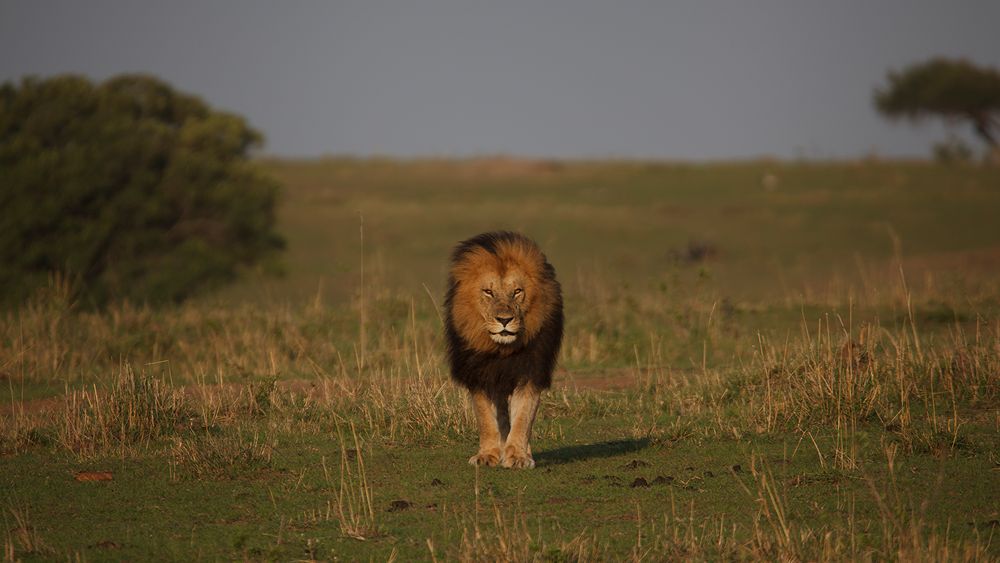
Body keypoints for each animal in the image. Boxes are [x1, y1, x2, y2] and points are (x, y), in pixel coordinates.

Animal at [446, 231, 564, 470]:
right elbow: (485, 418)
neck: (501, 350)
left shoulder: (530, 372)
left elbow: (523, 417)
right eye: (488, 292)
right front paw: (487, 455)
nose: (504, 320)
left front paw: (518, 456)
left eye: (517, 292)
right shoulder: (479, 374)